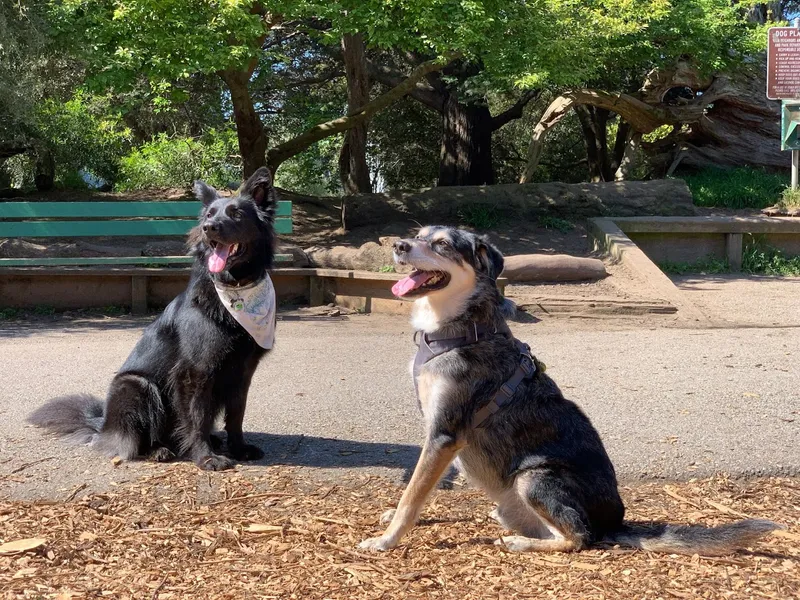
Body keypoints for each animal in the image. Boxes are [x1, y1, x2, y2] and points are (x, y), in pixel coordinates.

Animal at [28, 168, 280, 468]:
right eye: (209, 215)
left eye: (237, 214)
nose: (208, 228)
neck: (234, 290)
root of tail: (102, 424)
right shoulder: (194, 373)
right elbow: (197, 418)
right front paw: (205, 457)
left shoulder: (242, 372)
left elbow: (236, 415)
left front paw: (239, 447)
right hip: (137, 386)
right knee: (136, 439)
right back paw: (158, 450)